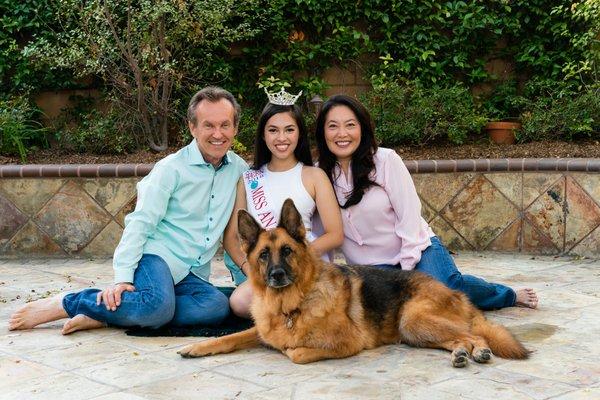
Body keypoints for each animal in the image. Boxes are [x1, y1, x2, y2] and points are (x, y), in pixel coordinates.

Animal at [179, 198, 528, 368]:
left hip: (412, 319)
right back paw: (460, 353)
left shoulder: (347, 342)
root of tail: (454, 291)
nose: (277, 276)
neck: (291, 306)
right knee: (460, 338)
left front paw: (292, 347)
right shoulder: (262, 330)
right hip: (414, 332)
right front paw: (196, 346)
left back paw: (479, 350)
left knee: (473, 334)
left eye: (287, 251)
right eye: (264, 254)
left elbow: (295, 352)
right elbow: (230, 337)